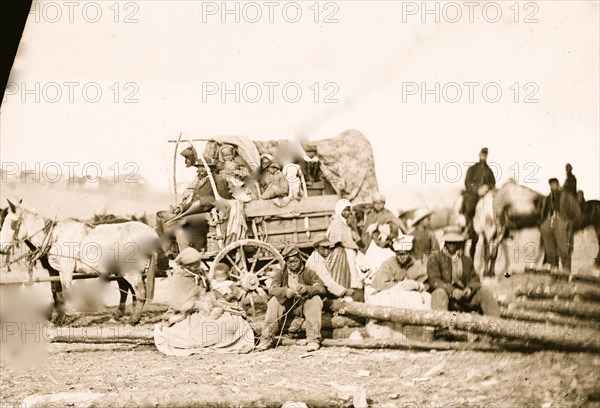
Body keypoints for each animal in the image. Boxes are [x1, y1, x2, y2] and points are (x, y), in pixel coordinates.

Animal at [0, 199, 159, 324]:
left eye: (12, 223)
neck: (54, 236)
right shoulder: (55, 270)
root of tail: (152, 234)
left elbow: (65, 292)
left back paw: (133, 319)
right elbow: (57, 292)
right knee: (130, 290)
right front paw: (58, 317)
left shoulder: (65, 269)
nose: (1, 248)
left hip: (131, 270)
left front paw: (63, 319)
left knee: (140, 292)